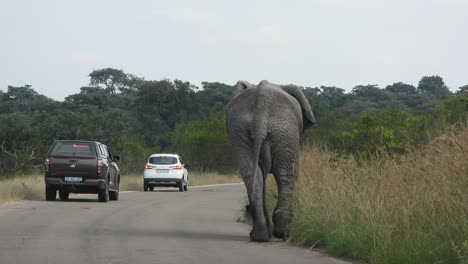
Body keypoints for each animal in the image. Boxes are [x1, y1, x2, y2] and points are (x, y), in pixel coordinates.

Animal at [226, 80, 316, 241]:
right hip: (286, 130)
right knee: (286, 175)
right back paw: (281, 233)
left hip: (241, 131)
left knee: (252, 175)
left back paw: (259, 236)